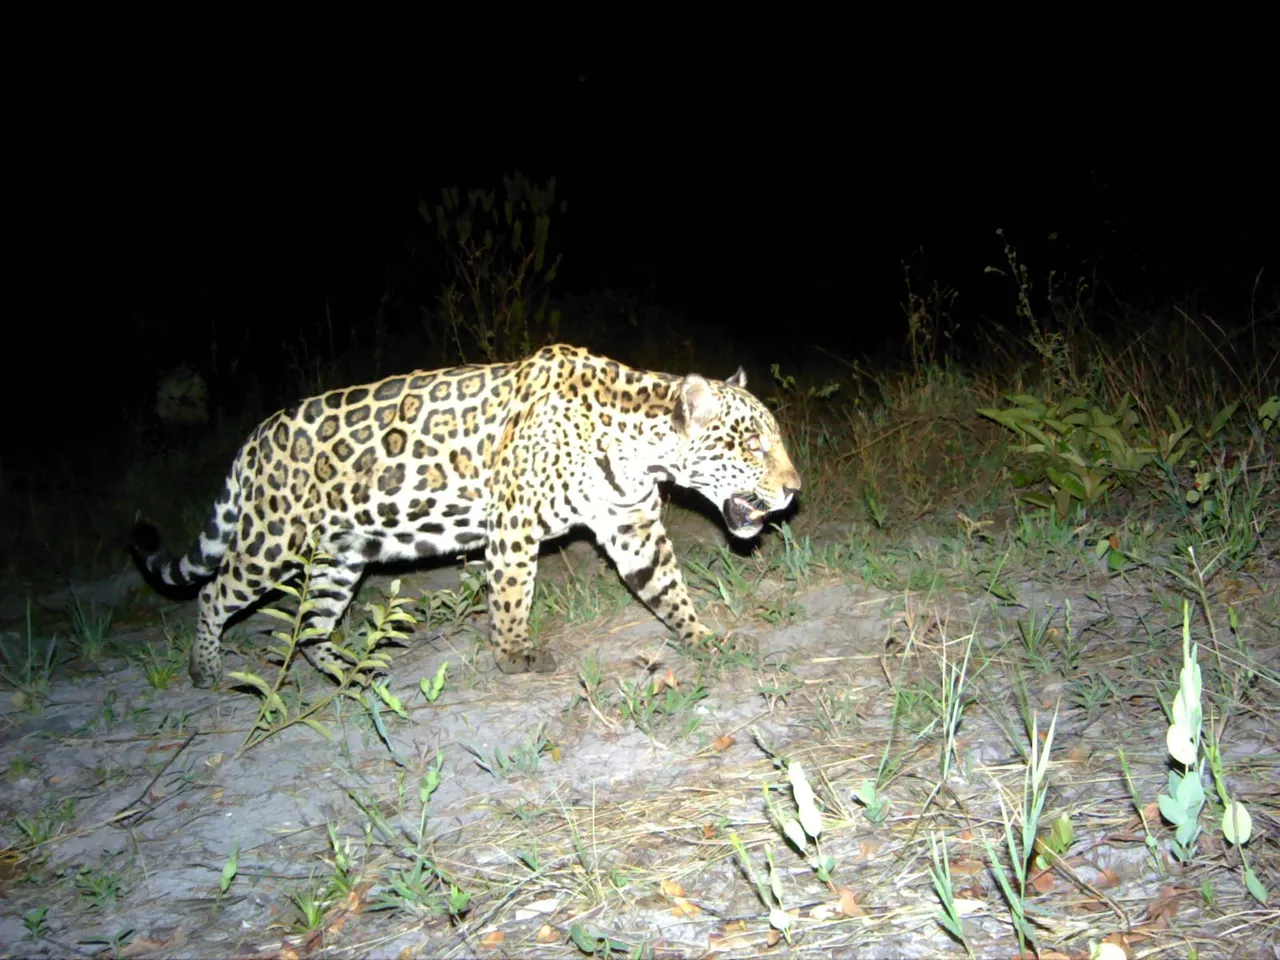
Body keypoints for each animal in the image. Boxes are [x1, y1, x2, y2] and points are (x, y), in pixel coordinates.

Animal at [132, 343, 802, 688]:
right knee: (214, 592)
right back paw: (204, 668)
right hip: (272, 541)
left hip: (342, 555)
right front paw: (513, 656)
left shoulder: (631, 526)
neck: (636, 447)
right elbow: (511, 596)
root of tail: (253, 440)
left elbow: (666, 587)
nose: (794, 490)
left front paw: (702, 637)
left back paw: (353, 673)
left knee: (314, 627)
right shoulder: (512, 525)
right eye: (751, 444)